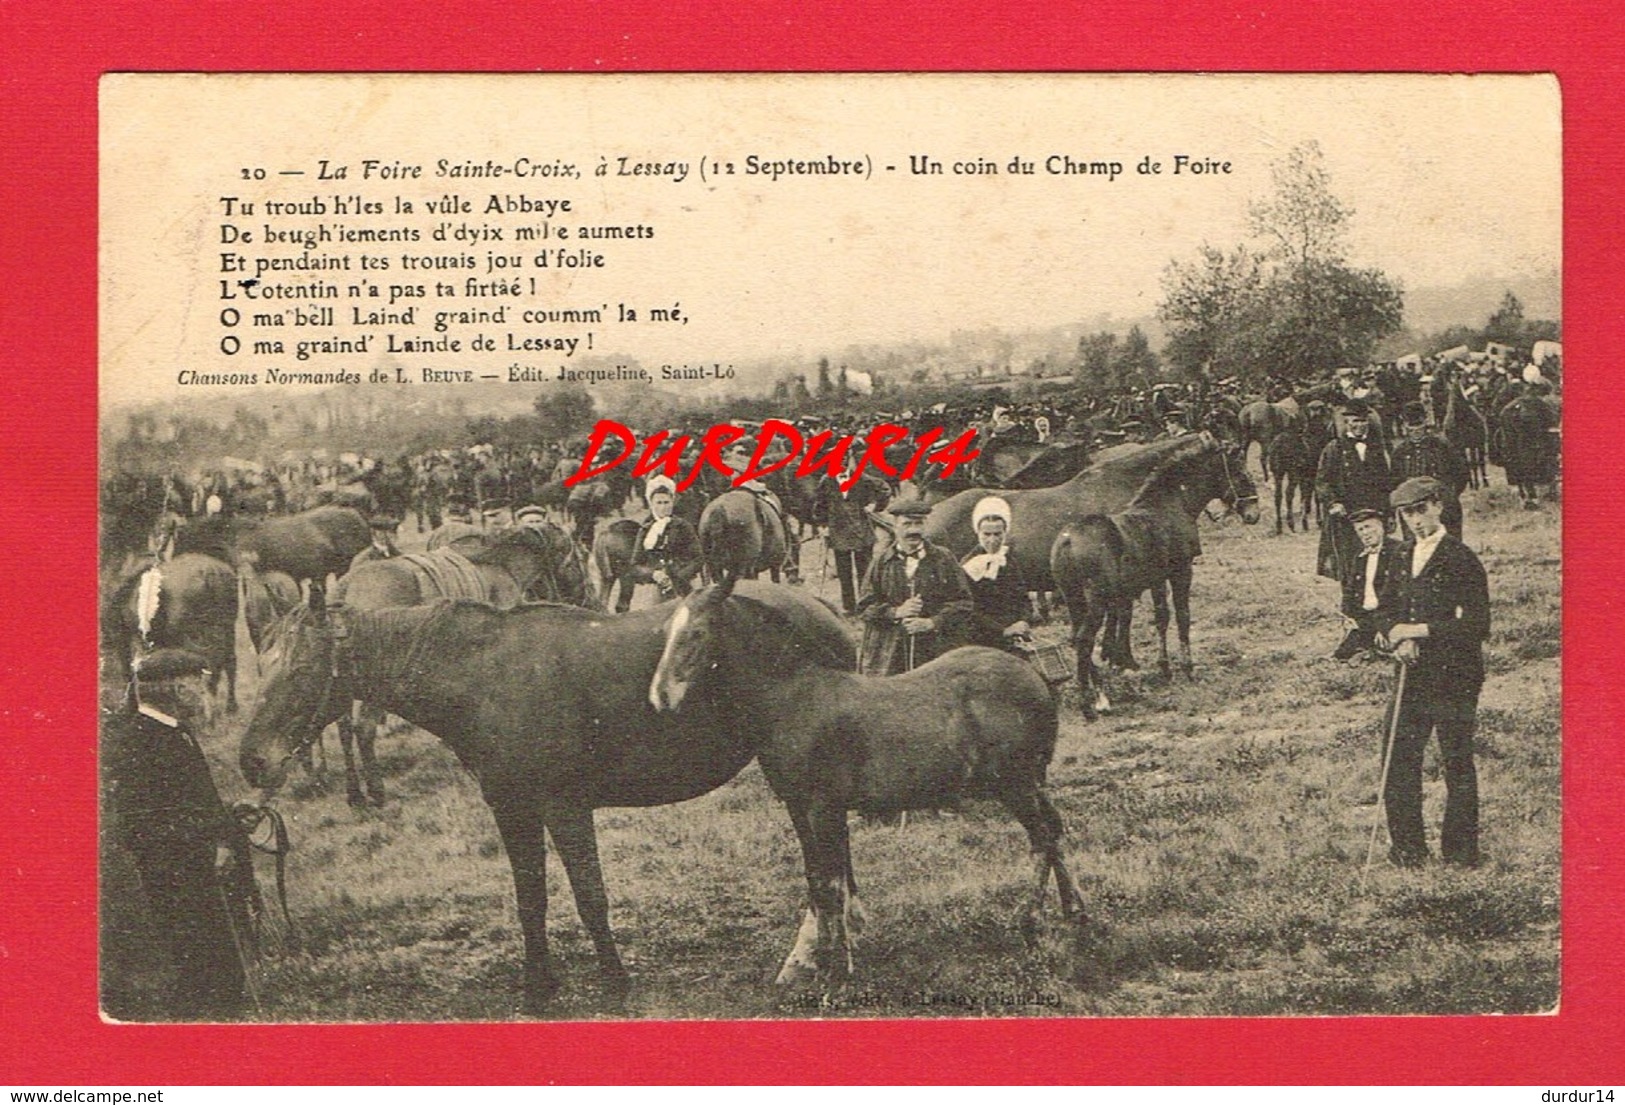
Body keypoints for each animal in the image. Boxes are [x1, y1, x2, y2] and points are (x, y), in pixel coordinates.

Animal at [238, 581, 858, 1014]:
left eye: (302, 667)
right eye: (262, 663)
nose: (252, 761)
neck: (483, 676)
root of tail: (822, 611)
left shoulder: (564, 806)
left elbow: (589, 896)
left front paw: (614, 981)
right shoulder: (511, 807)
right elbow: (530, 898)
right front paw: (539, 986)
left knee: (822, 867)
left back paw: (808, 960)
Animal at [329, 523, 598, 806]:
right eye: (581, 556)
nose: (592, 600)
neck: (501, 565)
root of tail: (345, 586)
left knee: (344, 728)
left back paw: (355, 794)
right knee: (363, 727)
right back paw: (377, 791)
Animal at [650, 581, 1092, 988]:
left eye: (697, 632)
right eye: (668, 630)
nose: (660, 698)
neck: (796, 699)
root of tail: (1033, 677)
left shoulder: (824, 807)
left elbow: (832, 882)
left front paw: (838, 967)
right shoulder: (797, 805)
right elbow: (817, 879)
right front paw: (818, 958)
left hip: (1014, 784)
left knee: (1041, 839)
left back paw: (1031, 923)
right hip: (1032, 781)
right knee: (1055, 831)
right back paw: (1075, 912)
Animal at [1046, 432, 1261, 715]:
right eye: (1240, 472)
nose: (1253, 514)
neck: (1170, 505)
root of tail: (1068, 540)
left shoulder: (1157, 578)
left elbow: (1161, 618)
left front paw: (1165, 669)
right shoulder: (1181, 571)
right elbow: (1182, 616)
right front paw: (1187, 668)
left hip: (1073, 599)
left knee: (1076, 638)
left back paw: (1099, 694)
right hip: (1097, 599)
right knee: (1084, 640)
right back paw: (1092, 702)